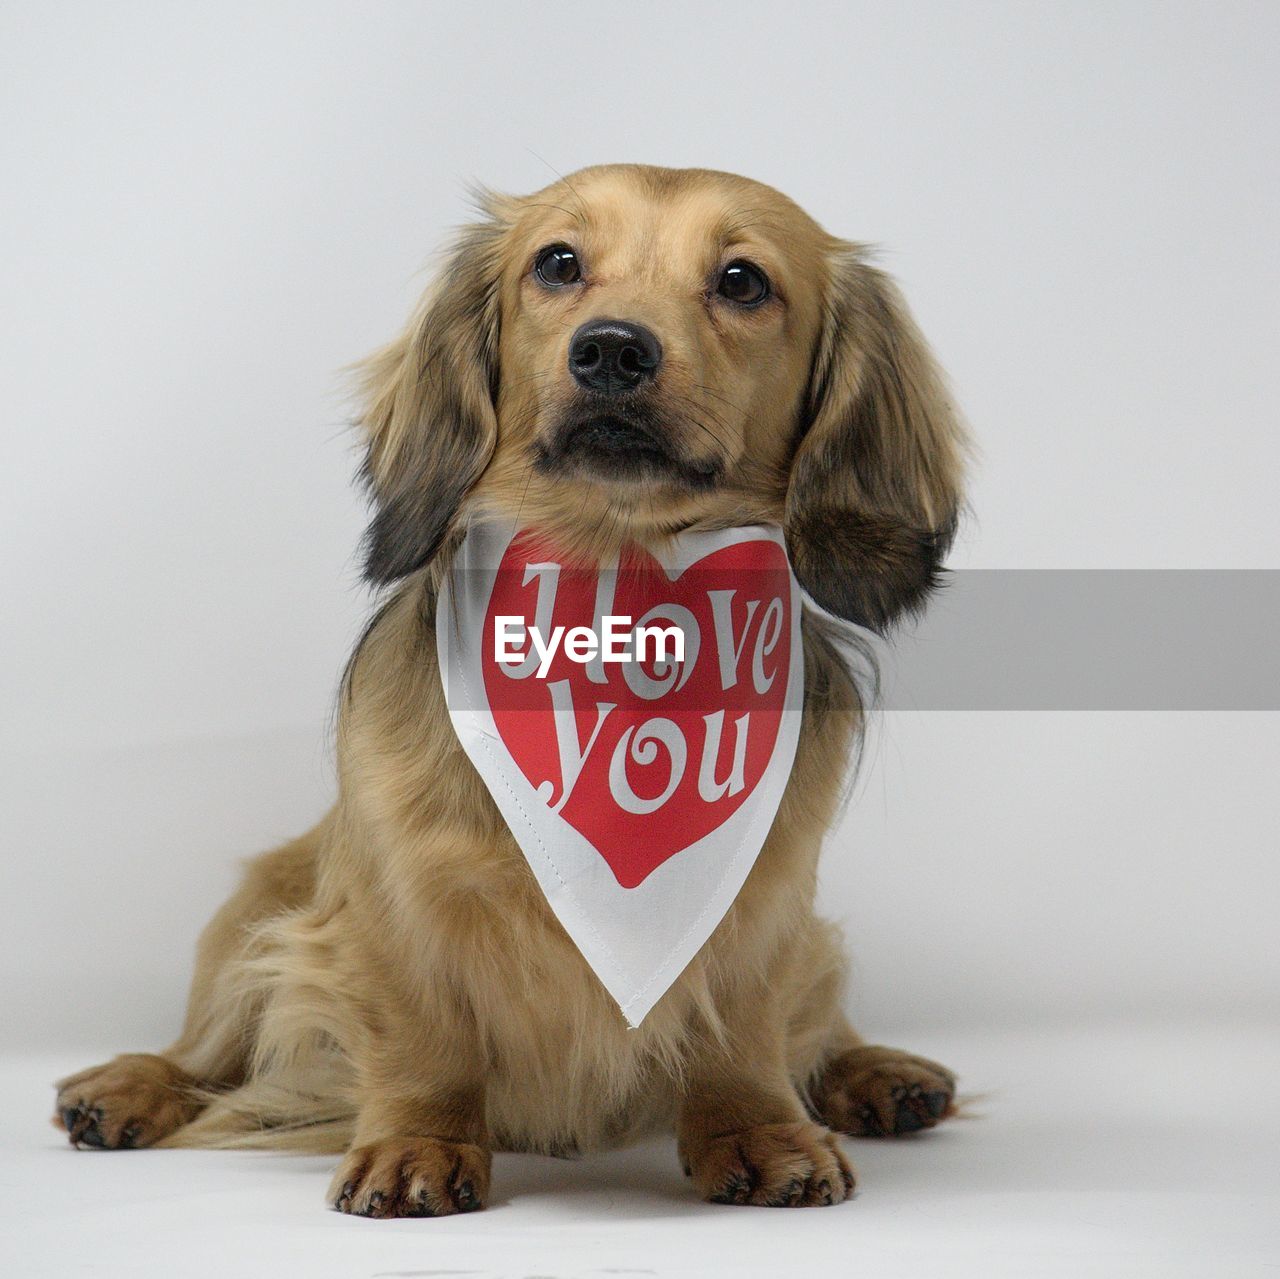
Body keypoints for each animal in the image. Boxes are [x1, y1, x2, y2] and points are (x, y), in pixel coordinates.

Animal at [55, 165, 962, 1213]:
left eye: (742, 281)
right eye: (557, 263)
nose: (611, 350)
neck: (620, 583)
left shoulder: (768, 902)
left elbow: (743, 1025)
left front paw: (757, 1129)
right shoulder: (397, 896)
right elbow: (422, 1031)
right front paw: (419, 1144)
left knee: (822, 1023)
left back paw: (877, 1073)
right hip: (256, 909)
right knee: (207, 1053)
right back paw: (129, 1086)